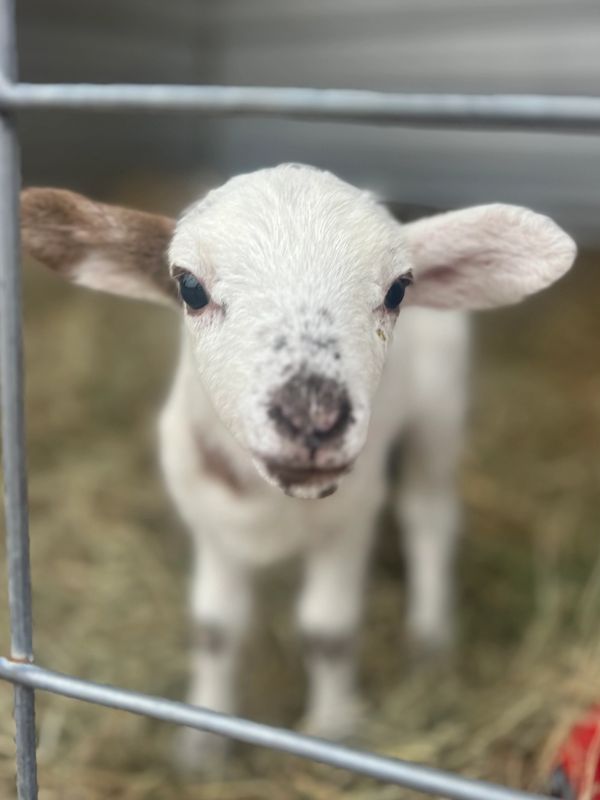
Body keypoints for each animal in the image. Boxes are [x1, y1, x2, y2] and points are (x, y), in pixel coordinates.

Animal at [20, 163, 576, 770]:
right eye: (190, 288)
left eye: (398, 290)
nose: (313, 418)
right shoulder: (208, 521)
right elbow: (215, 629)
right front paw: (202, 744)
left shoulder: (351, 520)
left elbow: (327, 632)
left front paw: (332, 731)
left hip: (440, 408)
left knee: (428, 515)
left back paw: (430, 639)